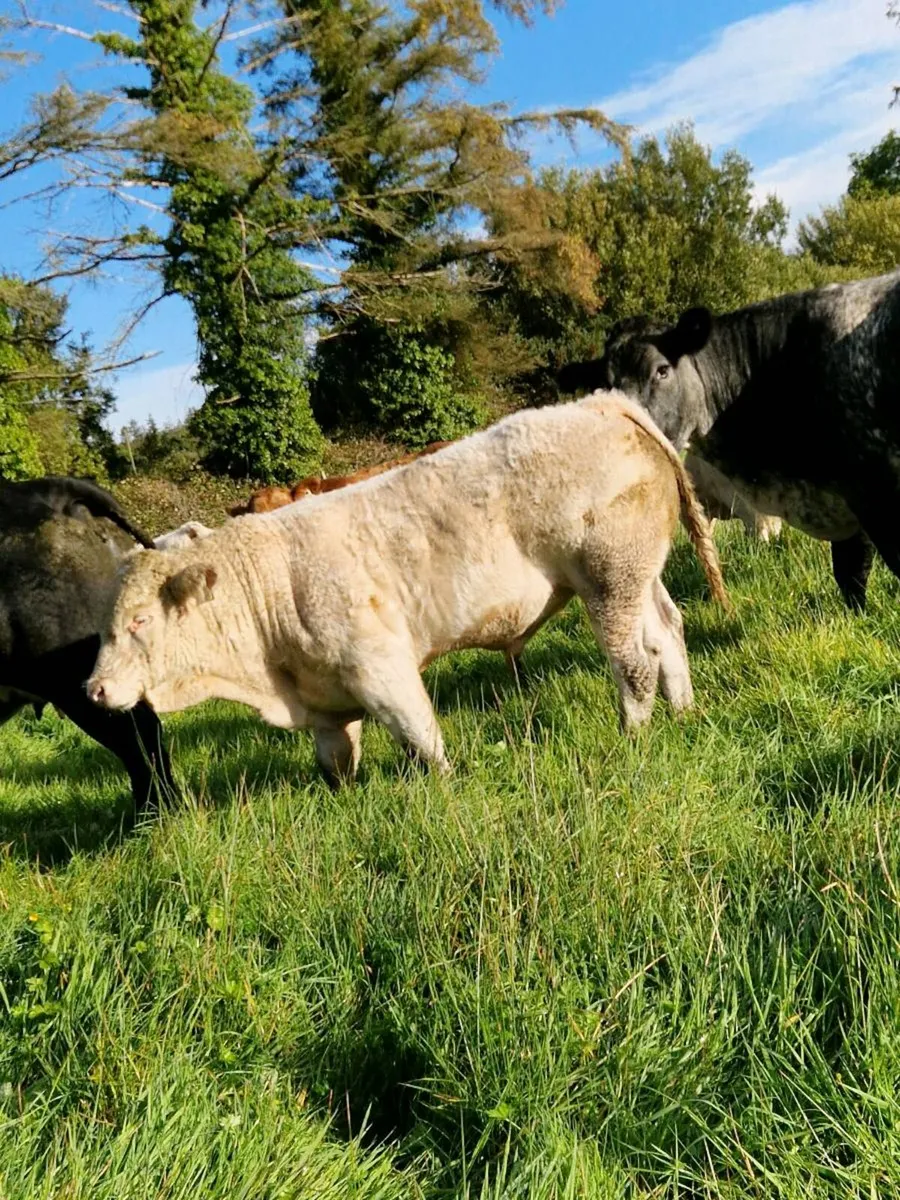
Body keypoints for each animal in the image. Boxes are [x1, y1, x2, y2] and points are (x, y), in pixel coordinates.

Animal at [87, 393, 728, 785]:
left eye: (140, 620)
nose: (93, 689)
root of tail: (599, 401)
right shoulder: (324, 701)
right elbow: (337, 764)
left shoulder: (380, 666)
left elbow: (421, 737)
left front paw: (446, 787)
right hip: (638, 575)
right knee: (667, 633)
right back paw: (684, 712)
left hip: (608, 579)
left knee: (634, 662)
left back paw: (633, 735)